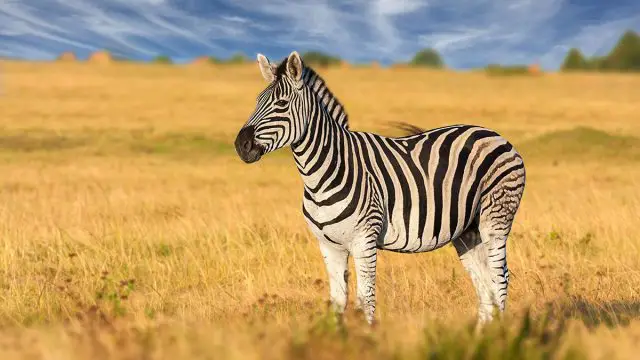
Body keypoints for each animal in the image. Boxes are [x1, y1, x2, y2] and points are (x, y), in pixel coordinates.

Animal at [235, 52, 524, 328]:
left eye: (281, 105)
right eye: (257, 101)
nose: (241, 145)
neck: (323, 172)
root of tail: (493, 133)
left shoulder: (365, 240)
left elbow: (366, 301)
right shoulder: (329, 245)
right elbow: (338, 302)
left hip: (495, 219)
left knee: (500, 279)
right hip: (467, 231)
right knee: (484, 285)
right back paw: (480, 336)